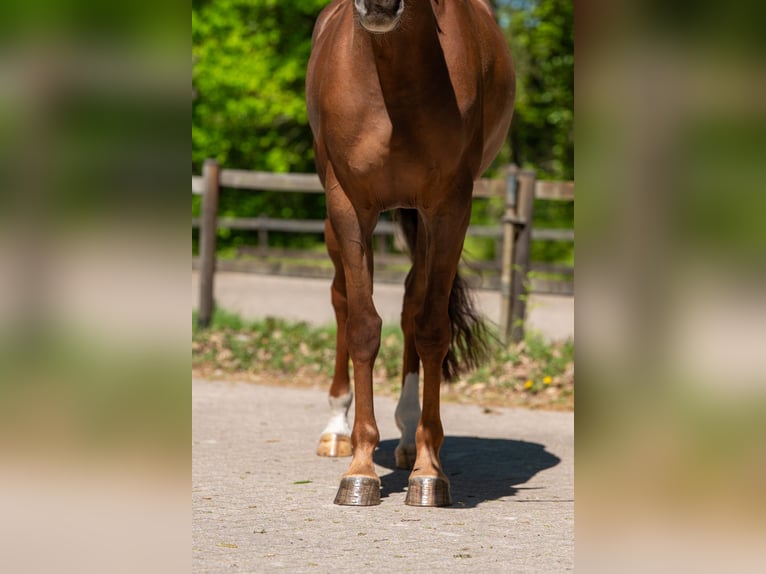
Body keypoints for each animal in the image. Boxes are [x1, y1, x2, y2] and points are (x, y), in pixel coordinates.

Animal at [306, 0, 515, 506]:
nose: (380, 5)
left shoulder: (449, 208)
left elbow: (432, 329)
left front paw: (428, 471)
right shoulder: (349, 205)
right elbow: (363, 327)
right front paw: (360, 470)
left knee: (410, 303)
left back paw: (403, 435)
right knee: (342, 300)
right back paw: (336, 429)